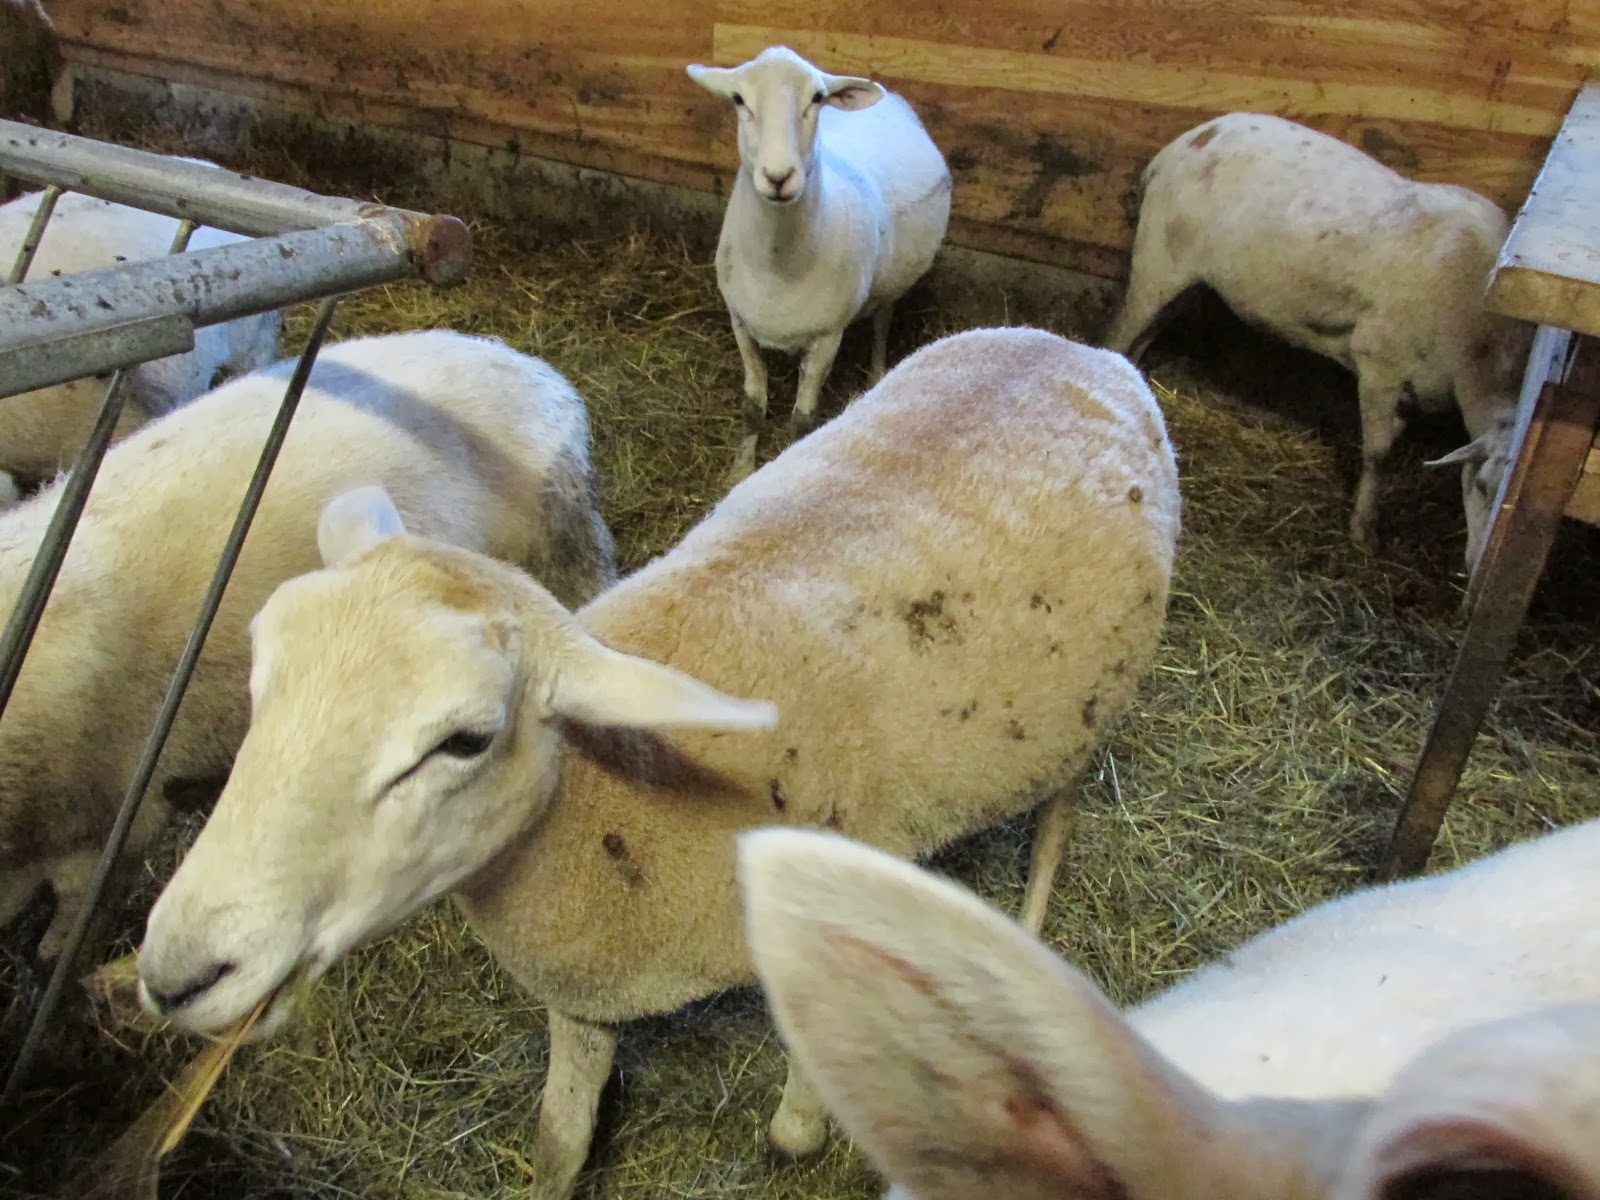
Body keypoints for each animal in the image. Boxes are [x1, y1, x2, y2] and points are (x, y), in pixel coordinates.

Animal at [135, 326, 1180, 1200]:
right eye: (262, 676)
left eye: (463, 739)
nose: (177, 973)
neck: (617, 799)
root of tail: (1072, 345)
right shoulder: (585, 982)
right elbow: (558, 1144)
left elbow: (799, 1122)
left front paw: (805, 1125)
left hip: (1098, 702)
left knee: (1060, 811)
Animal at [687, 45, 952, 482]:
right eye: (739, 99)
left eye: (817, 98)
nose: (778, 177)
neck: (777, 265)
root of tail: (893, 99)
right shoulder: (739, 322)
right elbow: (752, 407)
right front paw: (740, 471)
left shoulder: (828, 338)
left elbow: (803, 420)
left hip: (891, 284)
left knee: (882, 321)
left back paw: (876, 373)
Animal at [1103, 112, 1533, 566]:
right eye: (1481, 486)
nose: (1477, 566)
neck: (1478, 348)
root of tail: (1187, 140)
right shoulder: (1380, 360)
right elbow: (1378, 452)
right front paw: (1364, 530)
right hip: (1158, 261)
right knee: (1121, 333)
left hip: (1188, 281)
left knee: (1145, 337)